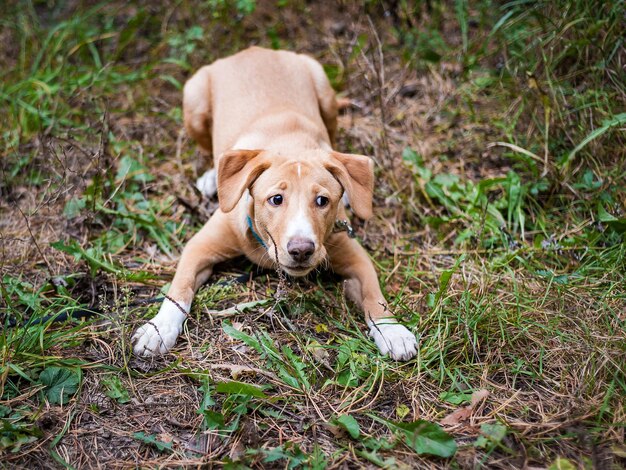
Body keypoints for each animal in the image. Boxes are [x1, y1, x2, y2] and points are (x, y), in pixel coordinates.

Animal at [131, 46, 414, 360]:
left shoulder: (354, 255)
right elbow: (178, 290)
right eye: (276, 199)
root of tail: (253, 49)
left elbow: (374, 295)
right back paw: (210, 177)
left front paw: (393, 330)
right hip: (194, 101)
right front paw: (159, 328)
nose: (301, 250)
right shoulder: (198, 246)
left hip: (324, 92)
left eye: (322, 201)